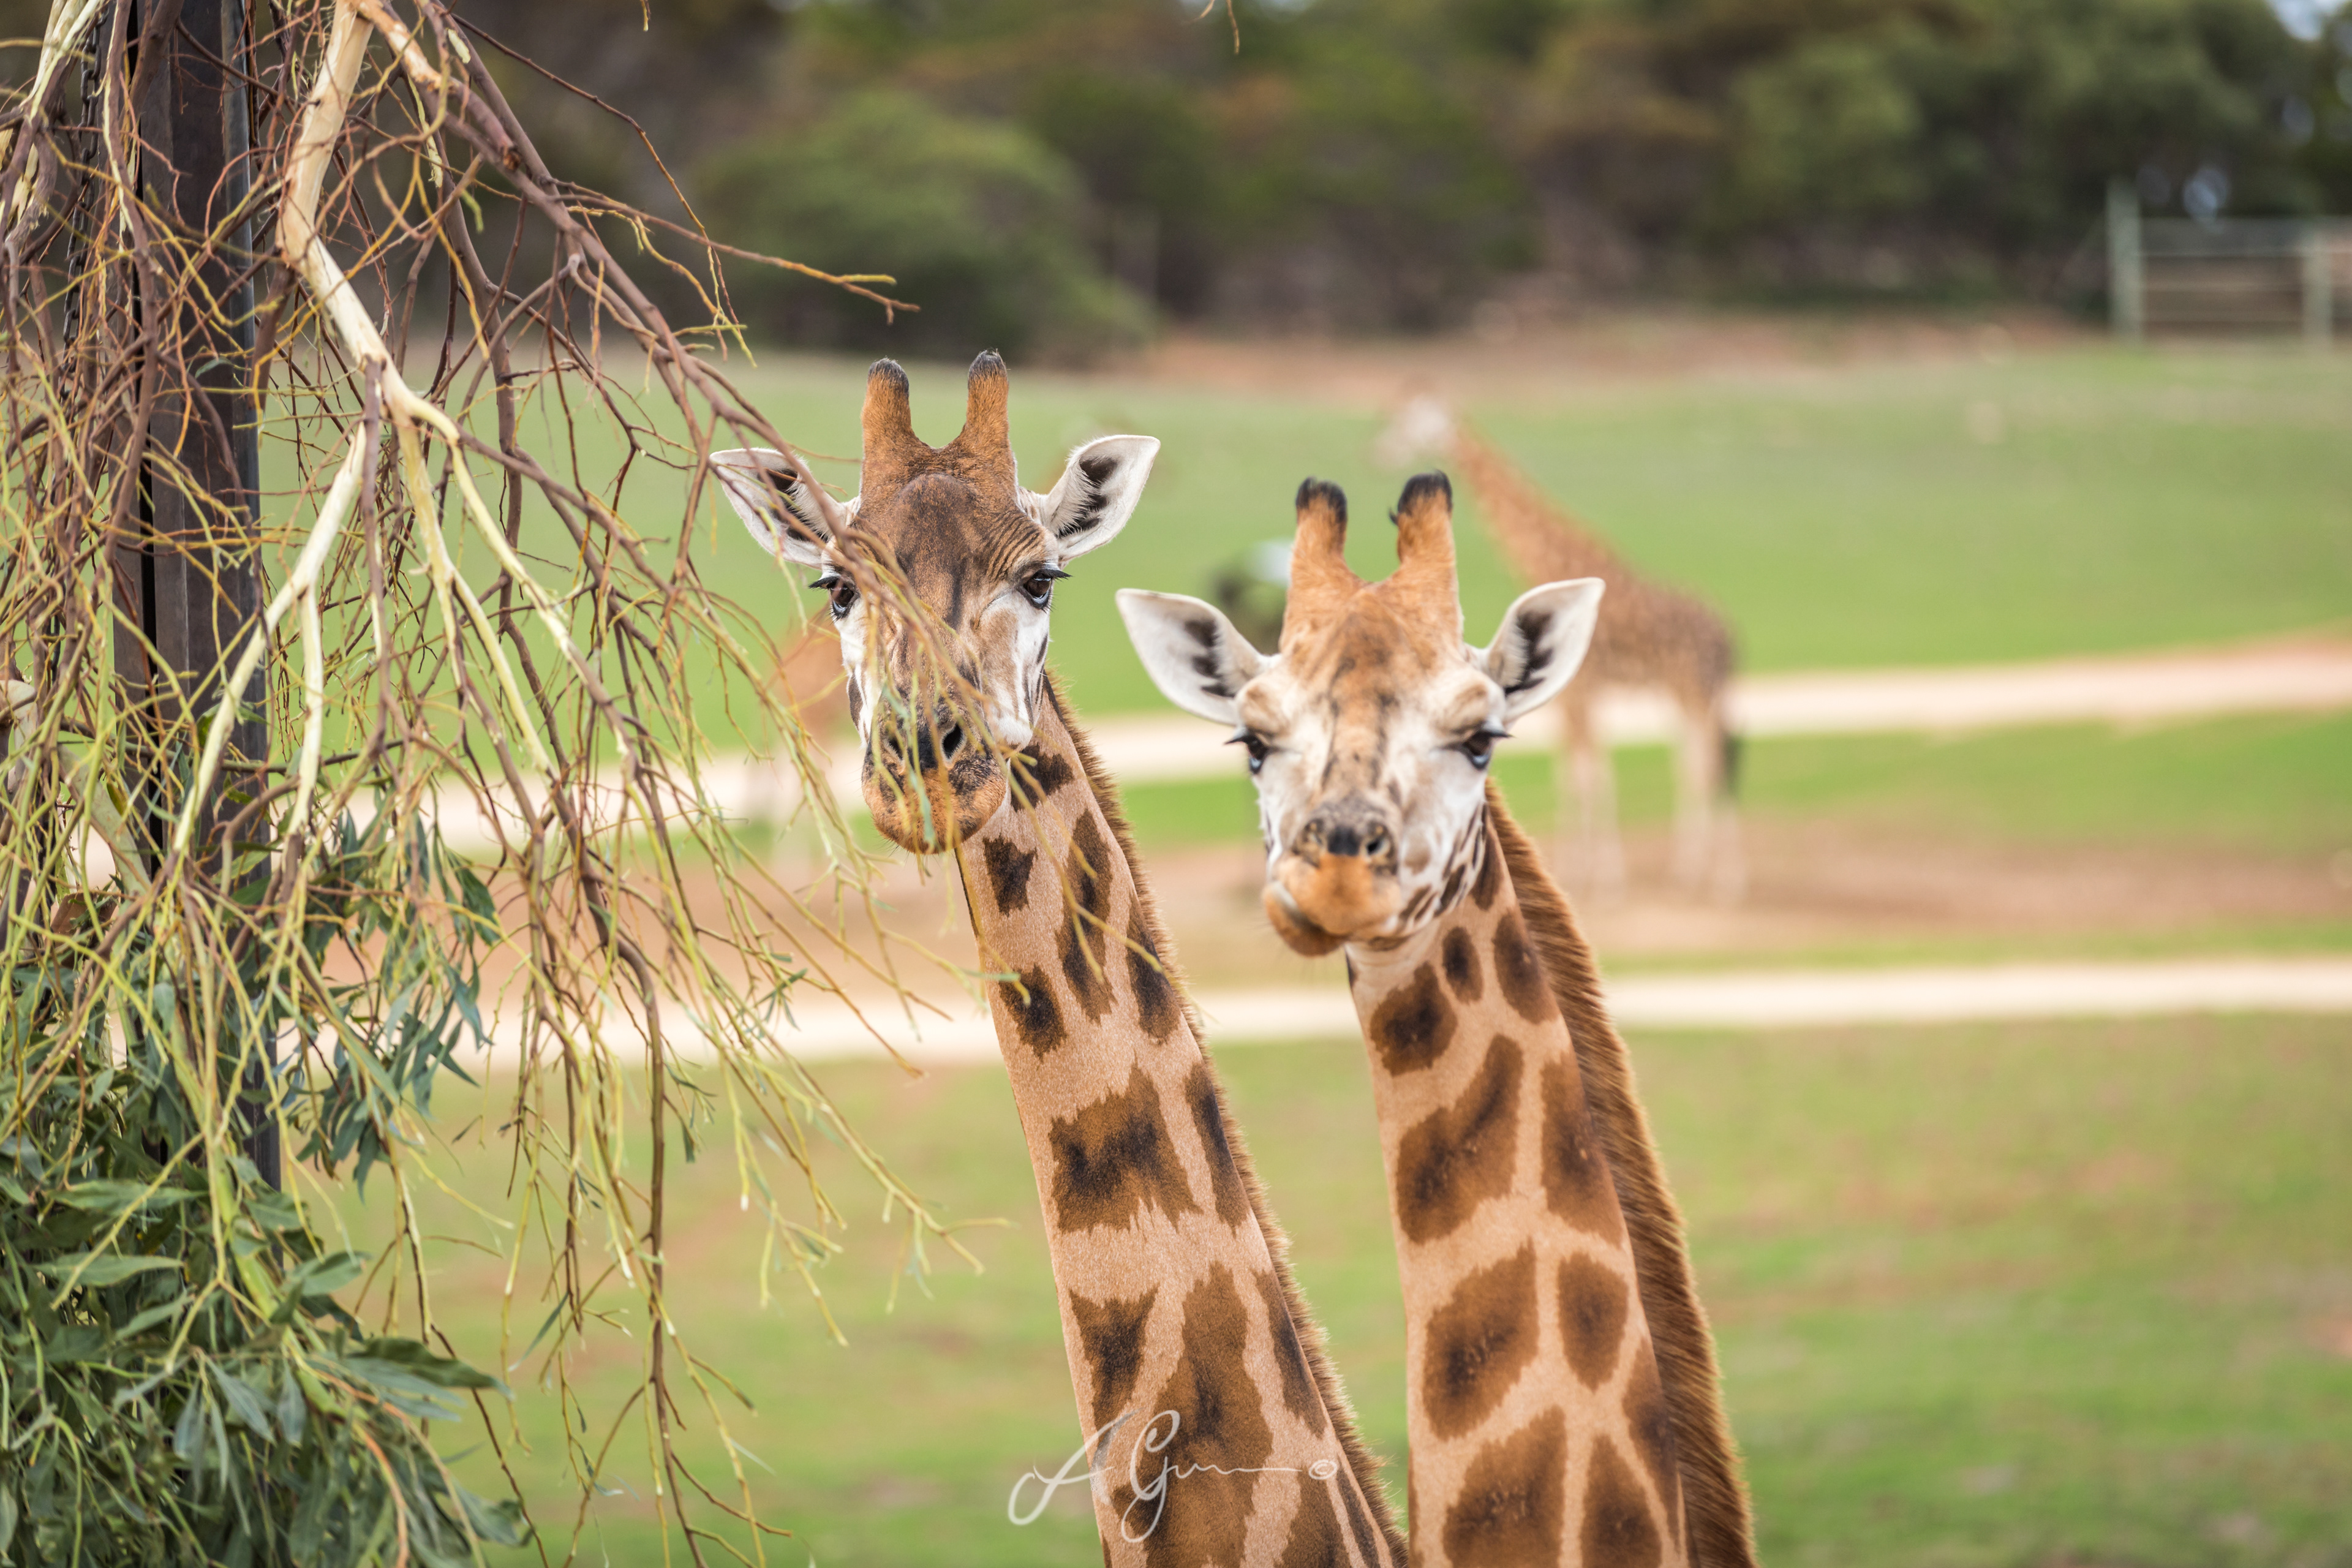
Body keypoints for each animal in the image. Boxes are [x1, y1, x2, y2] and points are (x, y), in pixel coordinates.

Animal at [1381, 398, 1743, 903]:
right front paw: (1569, 872)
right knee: (1700, 762)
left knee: (1705, 764)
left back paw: (1716, 879)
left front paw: (1606, 882)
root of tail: (1728, 634)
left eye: (1413, 424)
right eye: (1395, 419)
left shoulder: (1583, 690)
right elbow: (1572, 774)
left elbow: (1592, 776)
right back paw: (1698, 871)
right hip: (1693, 694)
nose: (1379, 452)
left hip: (1695, 690)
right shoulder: (1570, 698)